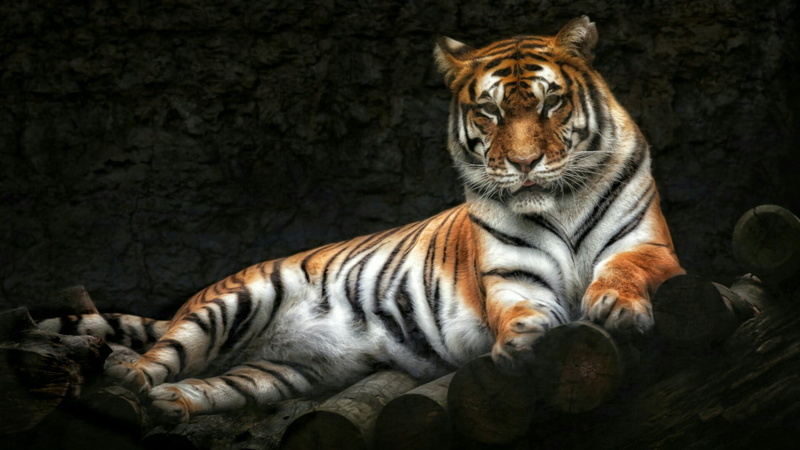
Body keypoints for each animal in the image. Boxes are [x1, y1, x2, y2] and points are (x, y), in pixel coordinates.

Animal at [39, 16, 683, 423]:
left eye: (551, 102)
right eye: (489, 111)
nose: (525, 164)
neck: (560, 202)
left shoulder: (650, 247)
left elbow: (625, 270)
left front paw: (615, 304)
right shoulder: (509, 277)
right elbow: (521, 309)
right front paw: (524, 340)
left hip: (278, 374)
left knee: (210, 382)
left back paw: (172, 405)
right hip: (230, 305)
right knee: (154, 360)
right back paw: (125, 392)